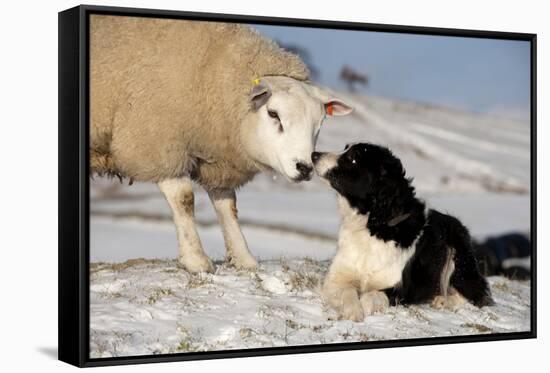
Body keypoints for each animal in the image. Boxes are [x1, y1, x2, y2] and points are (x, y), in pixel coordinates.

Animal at [88, 15, 352, 270]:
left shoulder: (217, 160)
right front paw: (195, 259)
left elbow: (228, 207)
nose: (305, 168)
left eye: (320, 123)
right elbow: (184, 198)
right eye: (273, 114)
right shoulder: (157, 142)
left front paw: (243, 257)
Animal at [312, 142, 494, 320]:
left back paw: (442, 300)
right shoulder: (337, 277)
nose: (314, 154)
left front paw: (361, 308)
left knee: (474, 294)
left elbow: (372, 296)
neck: (373, 225)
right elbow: (347, 291)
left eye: (353, 158)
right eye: (345, 148)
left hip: (459, 256)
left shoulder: (398, 289)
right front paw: (353, 311)